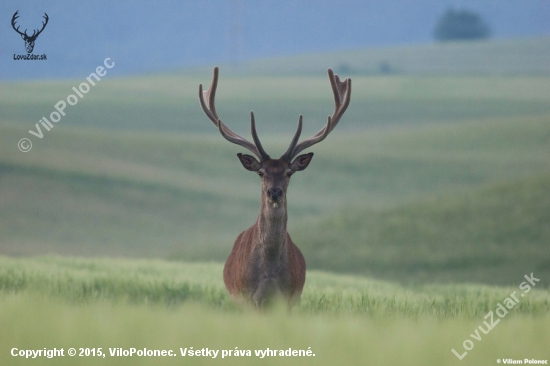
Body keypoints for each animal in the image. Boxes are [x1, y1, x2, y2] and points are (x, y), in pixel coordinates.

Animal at [199, 67, 354, 310]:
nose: (274, 192)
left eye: (289, 172)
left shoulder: (289, 297)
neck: (269, 272)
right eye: (260, 172)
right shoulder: (246, 297)